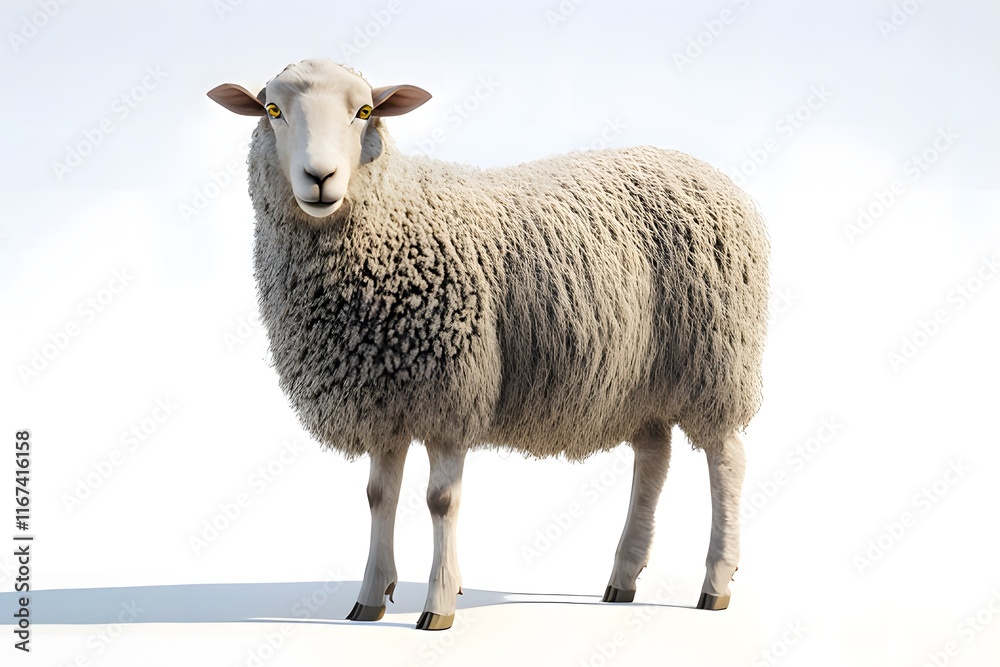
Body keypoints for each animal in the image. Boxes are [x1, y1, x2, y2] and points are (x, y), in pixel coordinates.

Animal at [207, 58, 769, 631]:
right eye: (272, 109)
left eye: (364, 111)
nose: (319, 178)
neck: (391, 219)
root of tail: (710, 173)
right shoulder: (387, 393)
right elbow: (378, 496)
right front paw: (368, 598)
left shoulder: (451, 390)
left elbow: (440, 501)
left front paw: (438, 604)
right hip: (646, 376)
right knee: (653, 457)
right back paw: (623, 578)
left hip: (716, 357)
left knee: (727, 460)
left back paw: (715, 583)